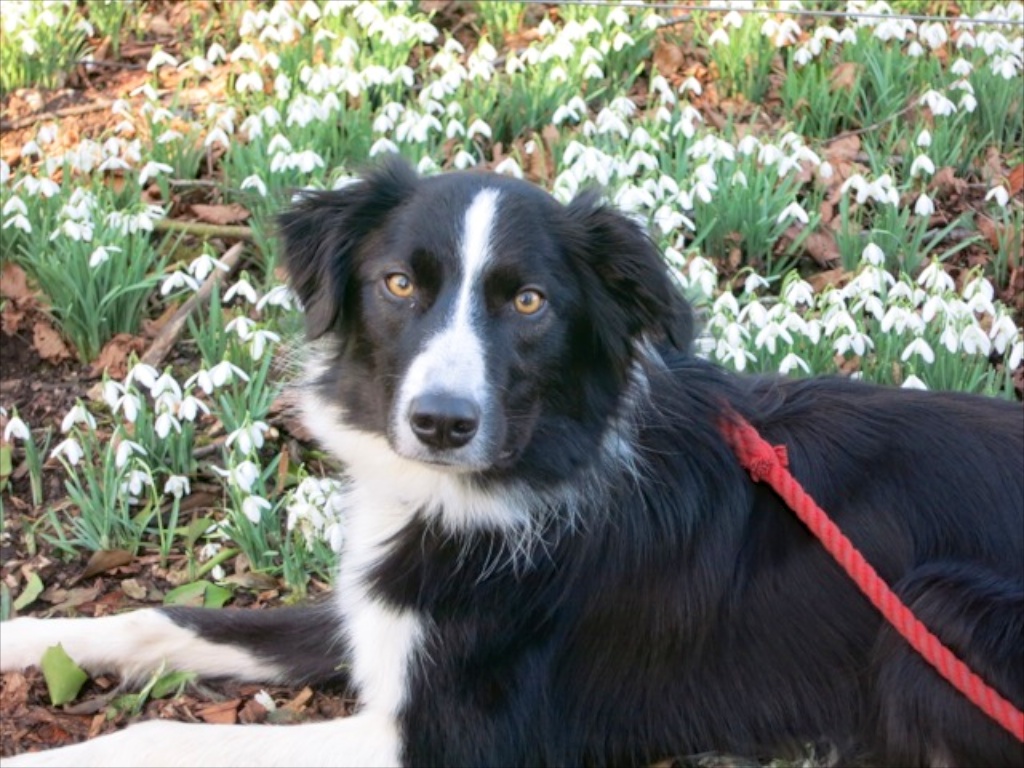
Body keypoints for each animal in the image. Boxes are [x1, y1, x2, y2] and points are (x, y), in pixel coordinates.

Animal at [2, 157, 1024, 768]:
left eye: (529, 302)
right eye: (399, 284)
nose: (441, 423)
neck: (511, 476)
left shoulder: (447, 737)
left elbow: (157, 736)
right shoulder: (385, 614)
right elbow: (160, 619)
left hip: (941, 604)